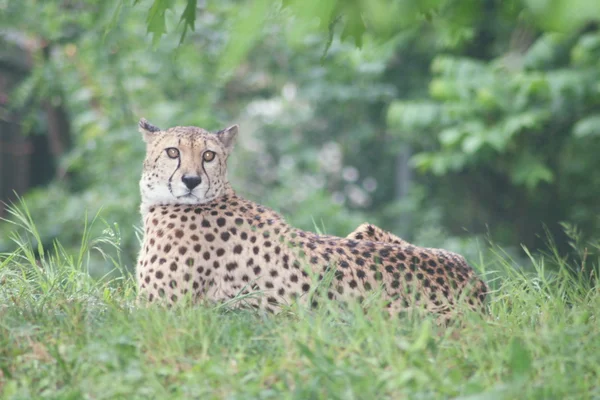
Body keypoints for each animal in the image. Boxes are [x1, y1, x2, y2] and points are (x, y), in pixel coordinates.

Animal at [136, 119, 488, 318]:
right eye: (172, 152)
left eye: (208, 155)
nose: (191, 181)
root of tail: (477, 288)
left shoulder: (160, 309)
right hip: (366, 231)